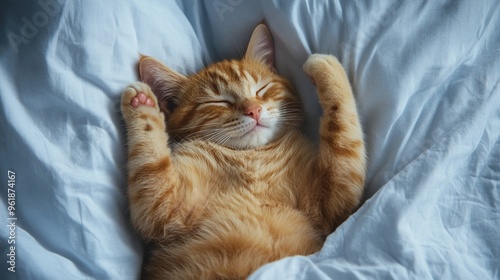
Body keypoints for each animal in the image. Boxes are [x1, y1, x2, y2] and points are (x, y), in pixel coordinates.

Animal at [119, 24, 366, 280]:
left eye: (261, 89)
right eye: (219, 102)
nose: (254, 110)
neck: (251, 157)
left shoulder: (333, 199)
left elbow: (343, 128)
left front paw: (327, 68)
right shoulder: (164, 209)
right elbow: (150, 167)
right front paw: (142, 104)